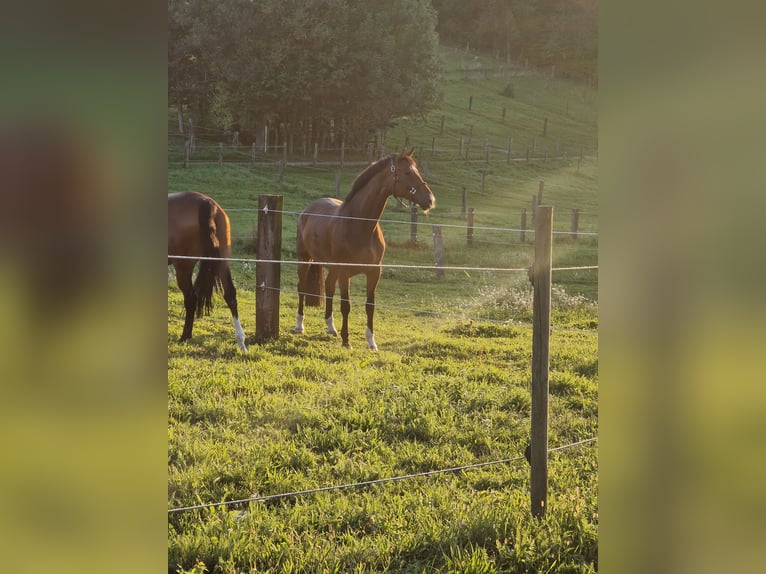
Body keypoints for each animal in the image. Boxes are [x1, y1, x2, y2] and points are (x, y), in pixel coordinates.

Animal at [168, 194, 246, 354]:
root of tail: (205, 202)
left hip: (183, 266)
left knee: (191, 299)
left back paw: (185, 337)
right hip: (222, 261)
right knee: (230, 295)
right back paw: (241, 341)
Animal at [296, 148, 438, 352]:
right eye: (407, 172)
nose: (430, 200)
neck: (359, 225)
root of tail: (308, 210)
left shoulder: (374, 272)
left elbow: (370, 306)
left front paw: (371, 342)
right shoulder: (345, 272)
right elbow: (346, 305)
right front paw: (346, 341)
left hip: (332, 267)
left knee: (329, 287)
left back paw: (331, 327)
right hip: (304, 259)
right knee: (301, 288)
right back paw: (300, 325)